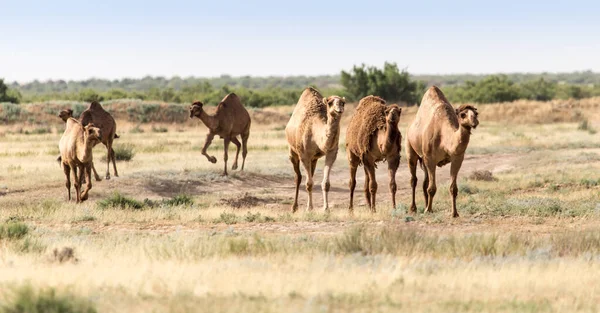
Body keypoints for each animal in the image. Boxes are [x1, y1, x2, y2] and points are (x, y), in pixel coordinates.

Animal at [406, 85, 480, 217]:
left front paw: (454, 213)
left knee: (425, 182)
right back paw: (413, 208)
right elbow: (432, 188)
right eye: (463, 114)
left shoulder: (457, 158)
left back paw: (426, 205)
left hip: (424, 160)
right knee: (414, 179)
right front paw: (428, 210)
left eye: (476, 113)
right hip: (410, 149)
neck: (445, 138)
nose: (475, 122)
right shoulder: (430, 158)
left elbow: (453, 188)